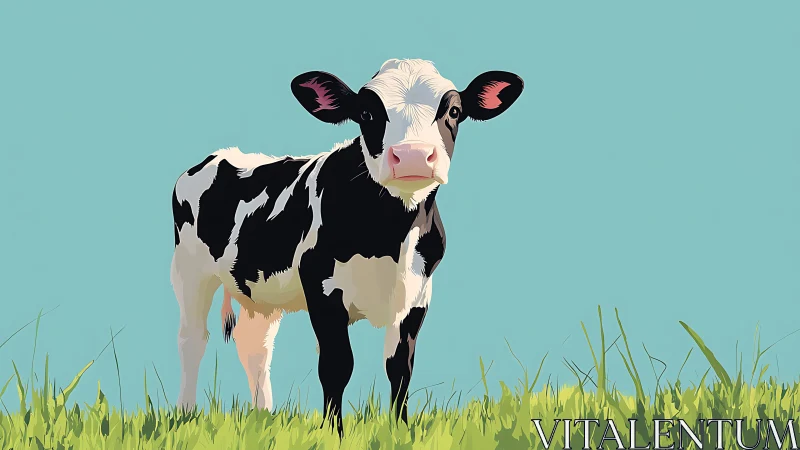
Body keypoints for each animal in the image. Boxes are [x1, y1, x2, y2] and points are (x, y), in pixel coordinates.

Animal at [170, 58, 523, 435]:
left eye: (454, 111)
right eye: (367, 113)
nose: (412, 156)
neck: (391, 239)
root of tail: (218, 156)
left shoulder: (417, 295)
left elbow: (400, 366)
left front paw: (399, 431)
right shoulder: (322, 286)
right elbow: (337, 365)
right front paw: (333, 433)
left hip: (259, 290)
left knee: (255, 346)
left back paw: (262, 418)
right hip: (190, 270)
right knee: (193, 339)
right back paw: (186, 414)